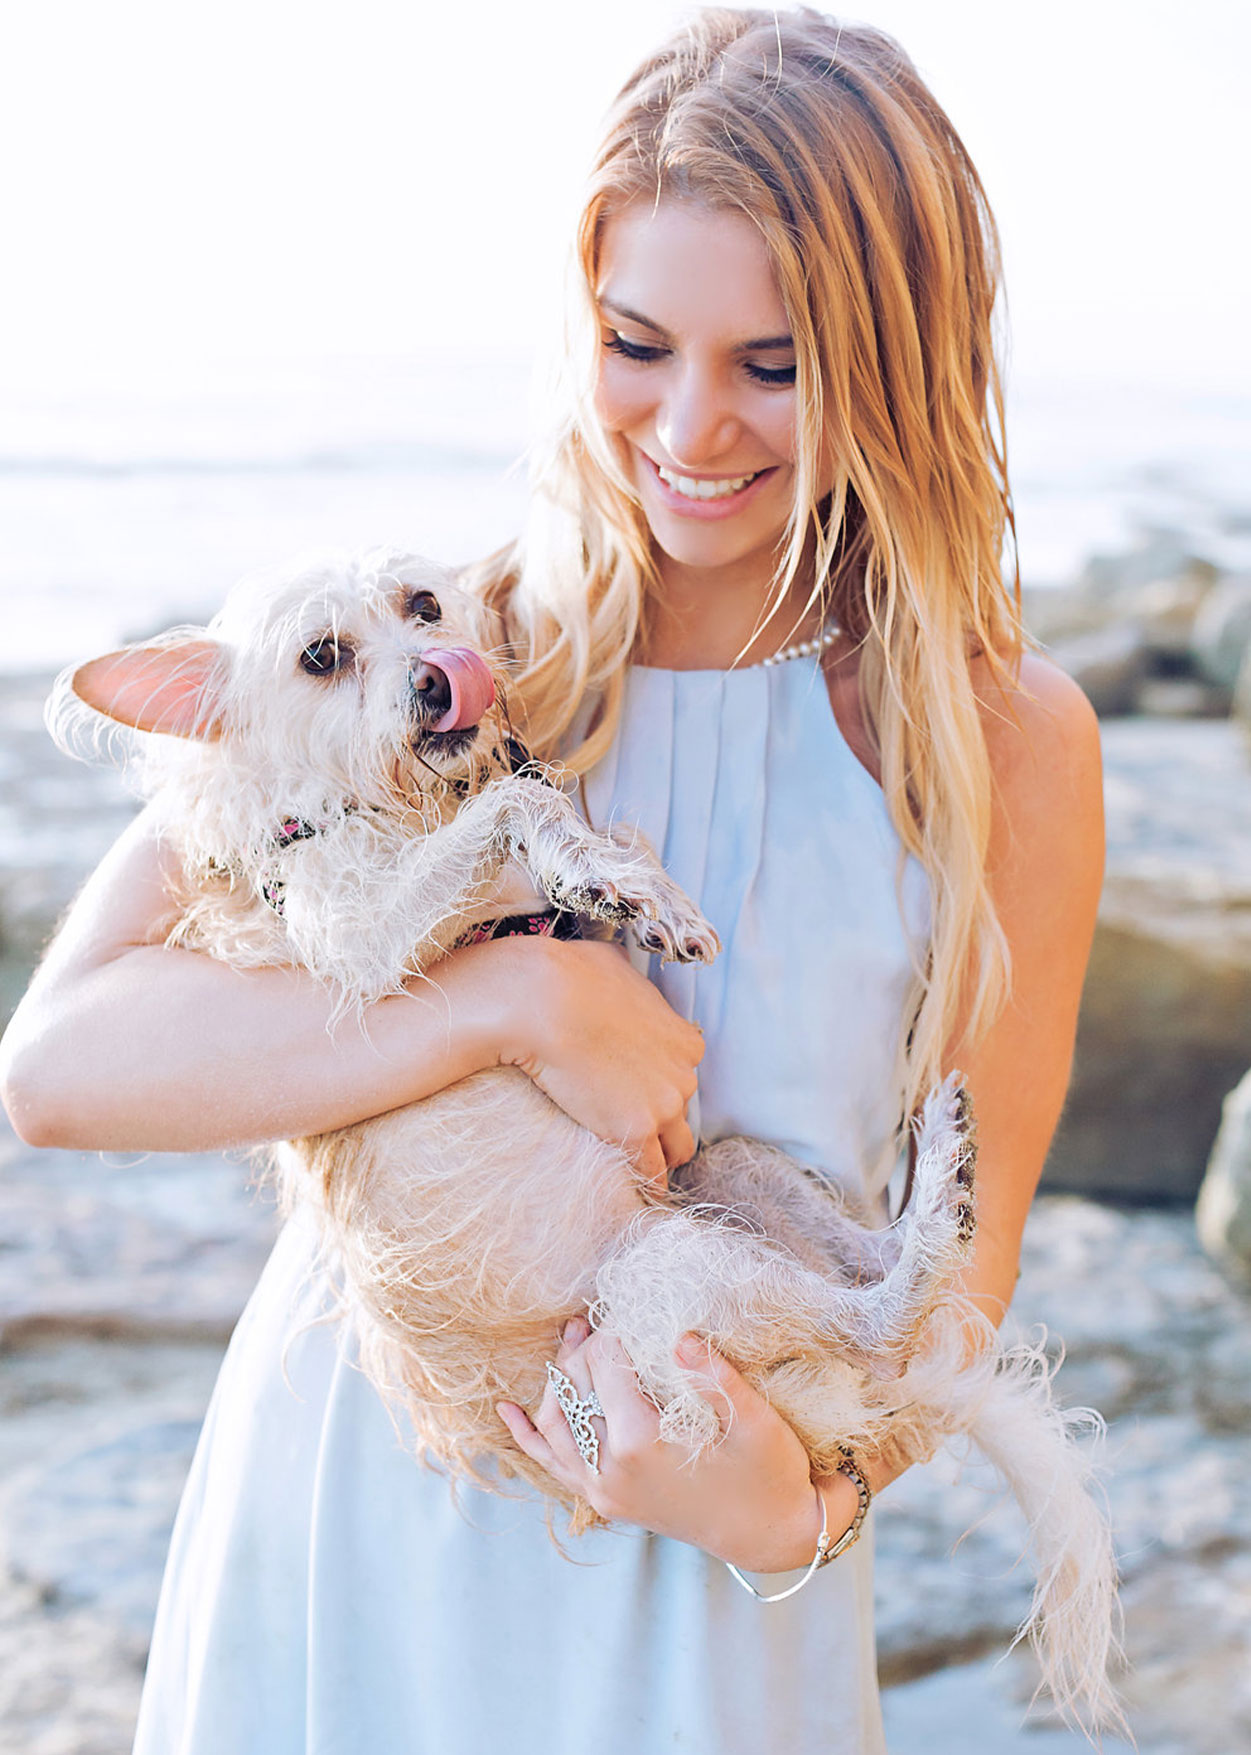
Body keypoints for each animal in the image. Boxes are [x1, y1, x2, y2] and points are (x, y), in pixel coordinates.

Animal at [48, 544, 1122, 1726]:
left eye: (424, 605)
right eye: (320, 657)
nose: (442, 675)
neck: (383, 809)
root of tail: (824, 1412)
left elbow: (531, 803)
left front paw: (627, 890)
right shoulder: (363, 937)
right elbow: (516, 802)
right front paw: (612, 880)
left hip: (721, 1173)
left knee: (872, 1271)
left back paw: (948, 1172)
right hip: (661, 1279)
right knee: (882, 1317)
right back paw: (937, 1211)